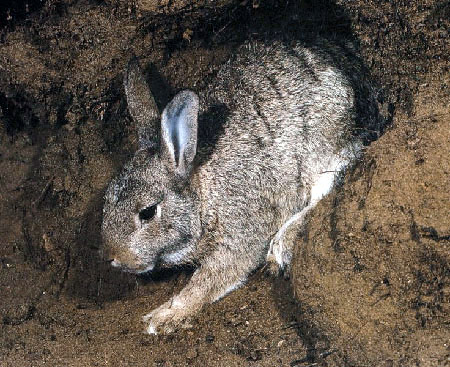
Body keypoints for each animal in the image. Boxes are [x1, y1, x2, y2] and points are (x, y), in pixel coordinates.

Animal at [101, 38, 380, 334]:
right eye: (106, 200)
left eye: (148, 212)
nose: (111, 257)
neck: (202, 194)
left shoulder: (241, 231)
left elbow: (209, 279)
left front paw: (163, 317)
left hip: (328, 149)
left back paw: (281, 246)